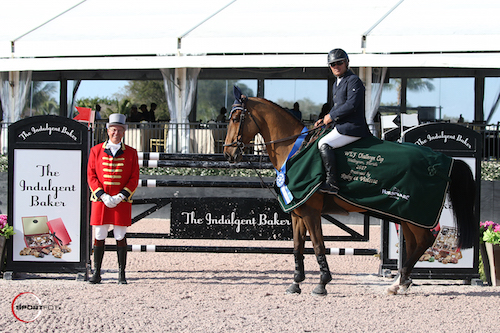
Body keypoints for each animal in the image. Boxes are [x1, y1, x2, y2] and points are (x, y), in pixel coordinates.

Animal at [223, 94, 476, 296]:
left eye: (236, 119)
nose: (228, 153)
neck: (295, 149)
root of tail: (446, 160)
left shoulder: (311, 212)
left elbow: (318, 245)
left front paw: (322, 284)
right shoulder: (298, 212)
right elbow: (297, 247)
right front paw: (296, 283)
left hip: (415, 214)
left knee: (424, 240)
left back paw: (399, 282)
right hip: (407, 216)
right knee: (416, 243)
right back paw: (400, 282)